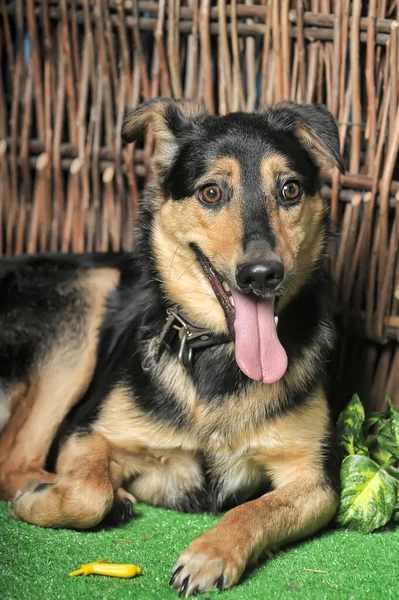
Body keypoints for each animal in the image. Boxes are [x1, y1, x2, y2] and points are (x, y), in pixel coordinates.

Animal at [0, 98, 344, 596]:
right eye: (211, 193)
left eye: (291, 190)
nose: (262, 274)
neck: (218, 353)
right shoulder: (87, 433)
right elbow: (87, 492)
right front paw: (45, 500)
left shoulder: (316, 478)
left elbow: (256, 508)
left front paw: (211, 553)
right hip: (89, 292)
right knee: (14, 460)